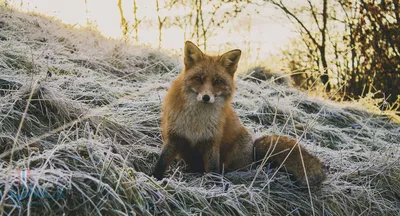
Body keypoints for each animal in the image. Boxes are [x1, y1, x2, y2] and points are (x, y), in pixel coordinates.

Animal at [152, 41, 326, 186]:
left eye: (217, 81)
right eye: (198, 79)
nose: (206, 97)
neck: (197, 121)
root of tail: (254, 154)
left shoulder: (212, 141)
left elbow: (213, 168)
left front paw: (213, 185)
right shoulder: (174, 136)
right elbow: (161, 162)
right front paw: (154, 179)